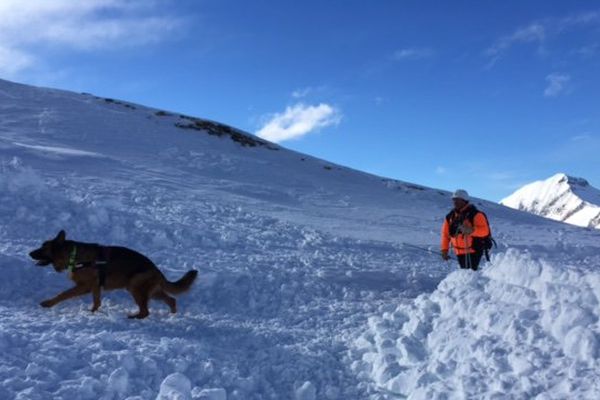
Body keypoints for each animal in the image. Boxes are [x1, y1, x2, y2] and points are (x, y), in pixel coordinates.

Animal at [29, 231, 198, 318]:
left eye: (43, 248)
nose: (29, 253)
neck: (73, 255)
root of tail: (157, 270)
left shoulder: (85, 286)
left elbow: (63, 294)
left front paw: (48, 303)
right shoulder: (95, 287)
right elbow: (97, 302)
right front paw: (92, 312)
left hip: (135, 286)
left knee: (146, 312)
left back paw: (134, 317)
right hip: (151, 292)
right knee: (171, 300)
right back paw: (173, 315)